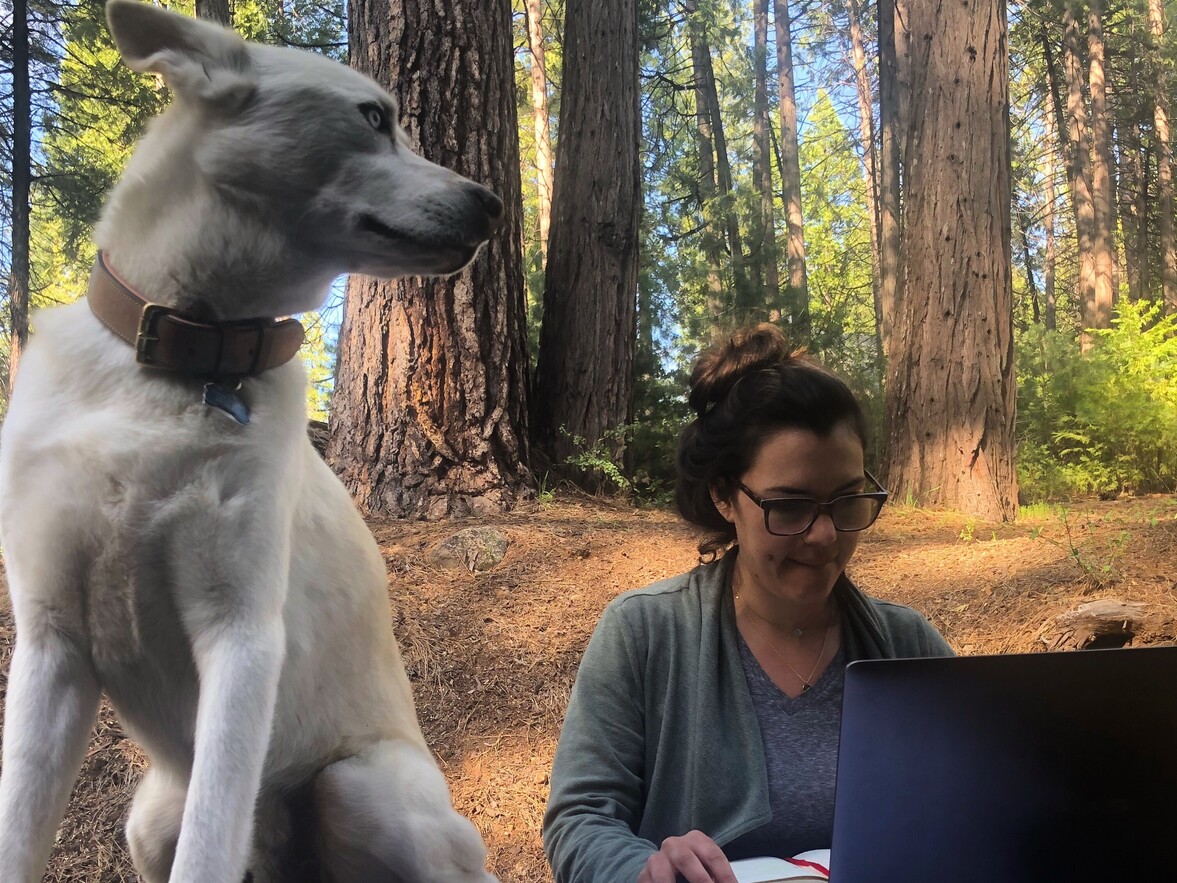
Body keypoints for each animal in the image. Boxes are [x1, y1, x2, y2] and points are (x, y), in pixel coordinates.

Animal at [0, 3, 501, 880]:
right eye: (374, 117)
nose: (494, 204)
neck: (176, 364)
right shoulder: (49, 645)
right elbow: (17, 834)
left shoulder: (240, 637)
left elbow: (209, 848)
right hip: (149, 817)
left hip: (366, 788)